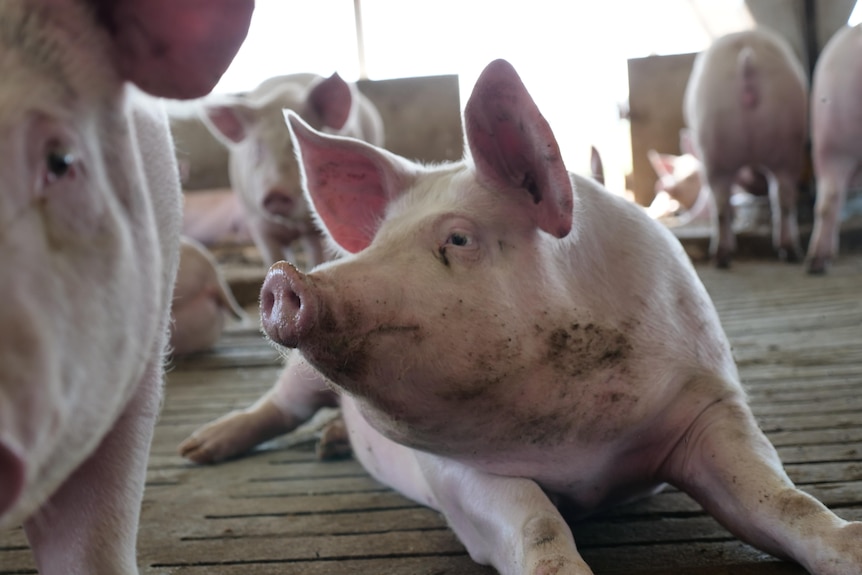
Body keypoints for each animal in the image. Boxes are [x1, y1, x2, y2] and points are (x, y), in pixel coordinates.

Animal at [202, 72, 384, 270]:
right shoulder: (258, 223)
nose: (276, 192)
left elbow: (319, 256)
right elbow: (273, 257)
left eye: (296, 147)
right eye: (258, 149)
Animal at [680, 28, 808, 268]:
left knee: (721, 205)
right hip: (787, 139)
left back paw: (721, 257)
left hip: (714, 144)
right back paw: (791, 252)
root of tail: (747, 60)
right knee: (784, 197)